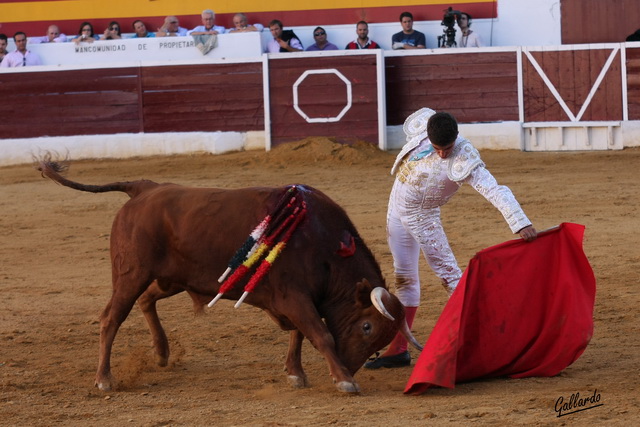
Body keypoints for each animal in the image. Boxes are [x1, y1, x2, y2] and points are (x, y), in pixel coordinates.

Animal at [37, 159, 422, 396]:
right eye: (367, 327)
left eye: (379, 341)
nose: (352, 368)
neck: (324, 242)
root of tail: (145, 188)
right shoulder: (295, 297)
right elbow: (320, 334)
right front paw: (343, 382)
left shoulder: (296, 299)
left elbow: (299, 334)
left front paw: (296, 373)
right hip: (131, 274)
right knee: (111, 318)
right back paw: (105, 379)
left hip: (170, 279)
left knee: (146, 300)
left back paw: (161, 353)